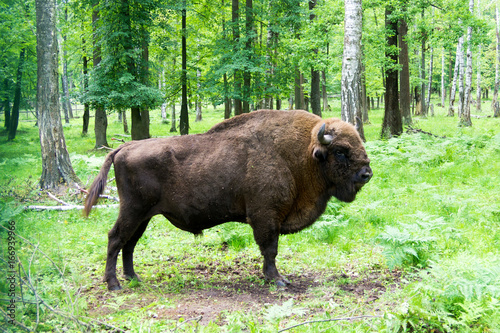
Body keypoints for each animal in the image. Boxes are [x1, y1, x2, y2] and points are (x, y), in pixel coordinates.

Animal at [83, 108, 372, 288]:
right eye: (341, 151)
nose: (366, 173)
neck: (302, 153)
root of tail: (124, 146)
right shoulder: (266, 217)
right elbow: (270, 249)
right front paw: (277, 280)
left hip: (143, 216)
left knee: (129, 244)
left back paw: (134, 278)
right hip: (132, 211)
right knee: (116, 239)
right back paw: (114, 285)